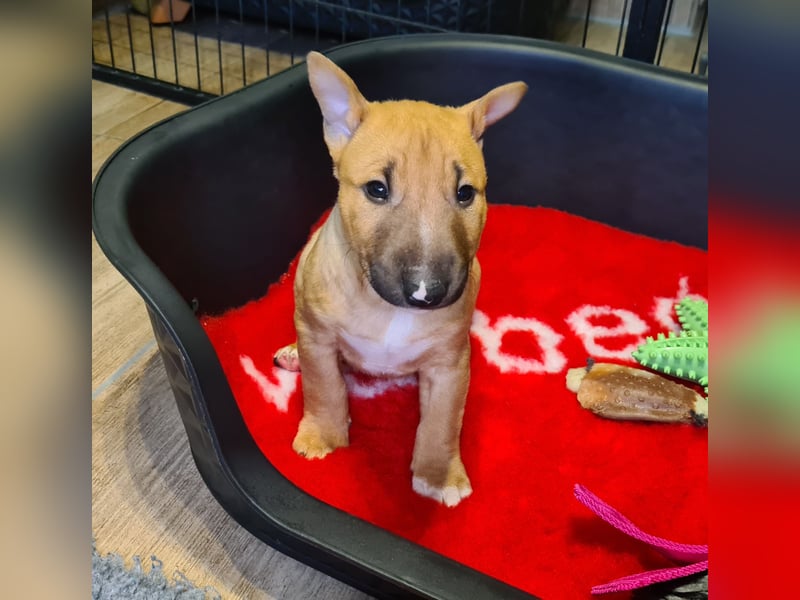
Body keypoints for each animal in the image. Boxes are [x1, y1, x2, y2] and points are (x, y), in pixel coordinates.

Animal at [276, 51, 524, 508]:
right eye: (376, 188)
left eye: (465, 193)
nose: (428, 293)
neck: (387, 309)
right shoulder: (318, 337)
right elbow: (324, 387)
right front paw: (323, 437)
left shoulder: (450, 364)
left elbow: (443, 422)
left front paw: (438, 476)